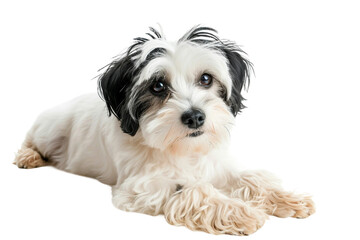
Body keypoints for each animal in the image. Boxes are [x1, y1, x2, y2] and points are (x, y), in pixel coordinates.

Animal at [13, 25, 316, 234]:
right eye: (158, 86)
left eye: (206, 79)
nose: (195, 117)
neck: (181, 149)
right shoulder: (139, 187)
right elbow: (193, 188)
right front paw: (237, 211)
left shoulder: (216, 165)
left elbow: (250, 178)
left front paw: (286, 199)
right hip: (49, 129)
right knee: (31, 140)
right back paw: (29, 156)